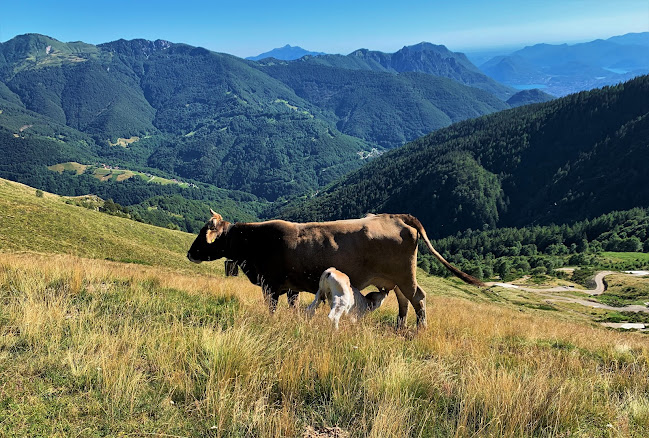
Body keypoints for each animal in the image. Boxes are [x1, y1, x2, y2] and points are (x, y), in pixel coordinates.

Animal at [187, 210, 480, 326]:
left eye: (203, 233)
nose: (190, 253)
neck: (254, 242)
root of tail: (396, 216)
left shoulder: (270, 285)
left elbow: (271, 308)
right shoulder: (291, 287)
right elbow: (293, 306)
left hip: (405, 275)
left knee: (418, 297)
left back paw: (420, 329)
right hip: (395, 278)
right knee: (403, 301)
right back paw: (400, 327)